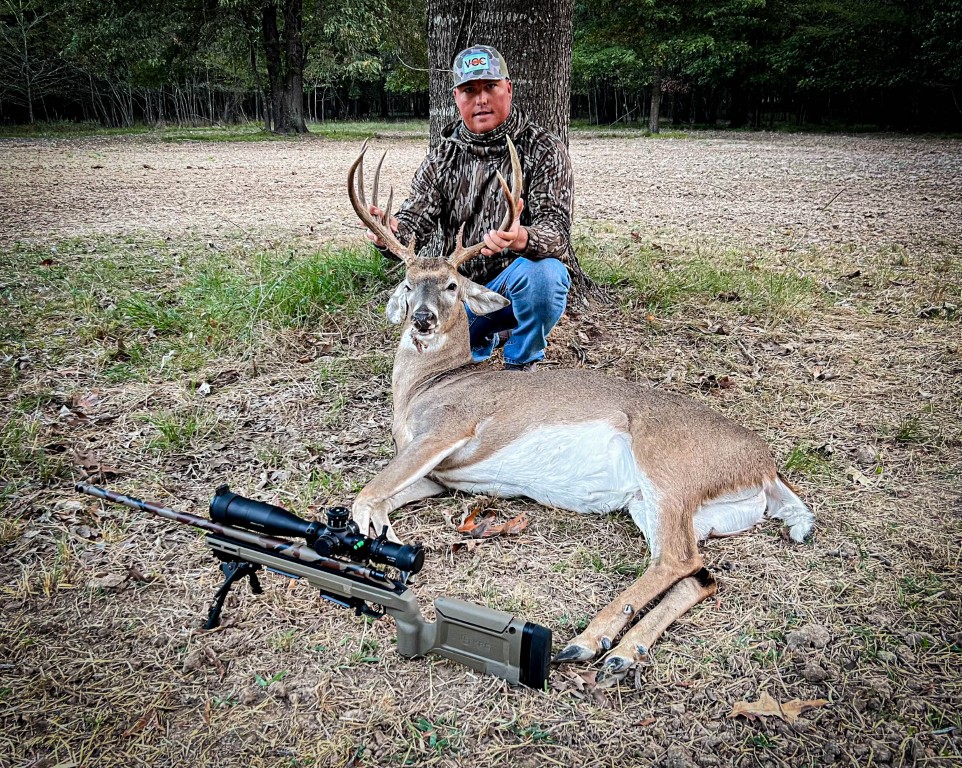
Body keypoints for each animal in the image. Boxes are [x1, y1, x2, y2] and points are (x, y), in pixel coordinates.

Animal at [345, 138, 814, 684]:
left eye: (452, 286)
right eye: (407, 283)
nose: (421, 319)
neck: (426, 386)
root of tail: (768, 467)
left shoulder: (448, 428)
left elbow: (366, 495)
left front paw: (382, 541)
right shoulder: (441, 476)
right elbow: (381, 499)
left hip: (669, 469)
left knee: (677, 560)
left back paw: (589, 641)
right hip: (673, 508)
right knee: (700, 574)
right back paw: (622, 652)